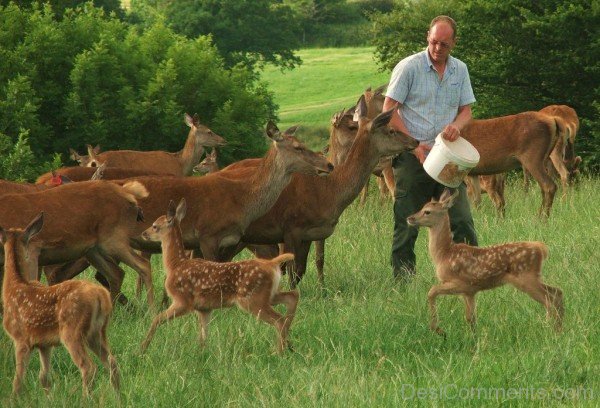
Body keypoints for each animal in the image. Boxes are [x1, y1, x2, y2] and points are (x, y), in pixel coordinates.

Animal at [0, 214, 119, 396]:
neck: (14, 286)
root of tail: (101, 296)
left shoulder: (21, 338)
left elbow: (18, 379)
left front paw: (14, 398)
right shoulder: (44, 344)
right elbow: (44, 377)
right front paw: (48, 397)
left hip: (72, 331)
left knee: (88, 367)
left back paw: (85, 398)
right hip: (97, 332)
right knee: (112, 362)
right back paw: (119, 397)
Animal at [139, 200, 298, 354]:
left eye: (155, 226)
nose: (144, 233)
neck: (175, 265)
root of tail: (272, 263)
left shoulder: (183, 300)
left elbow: (157, 319)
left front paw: (142, 348)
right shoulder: (204, 309)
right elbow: (203, 337)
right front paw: (201, 354)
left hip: (252, 298)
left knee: (279, 319)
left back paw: (279, 352)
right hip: (267, 295)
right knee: (292, 297)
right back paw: (288, 345)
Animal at [406, 190, 564, 336]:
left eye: (427, 211)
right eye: (422, 207)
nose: (410, 218)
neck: (444, 254)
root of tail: (541, 248)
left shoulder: (460, 283)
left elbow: (431, 291)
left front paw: (438, 329)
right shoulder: (469, 291)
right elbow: (470, 318)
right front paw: (473, 338)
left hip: (526, 277)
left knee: (549, 300)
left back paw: (551, 330)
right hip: (533, 277)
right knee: (557, 292)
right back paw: (558, 329)